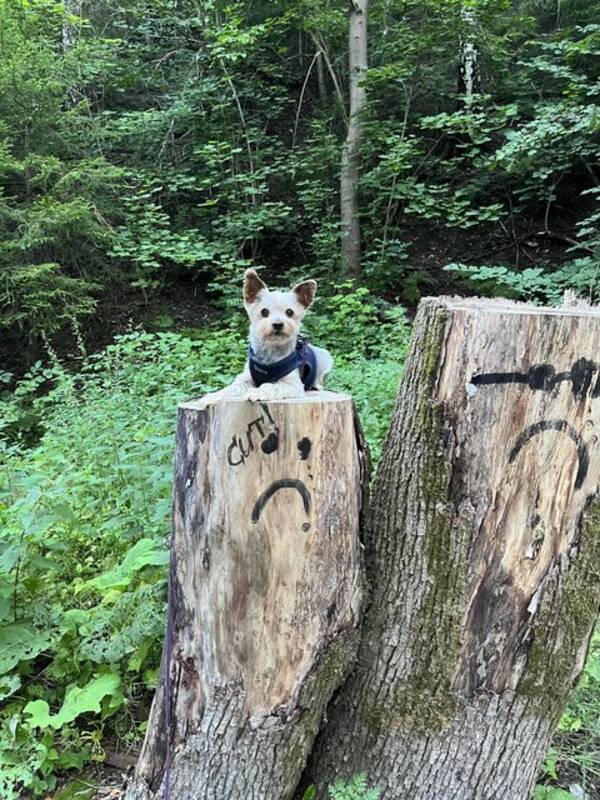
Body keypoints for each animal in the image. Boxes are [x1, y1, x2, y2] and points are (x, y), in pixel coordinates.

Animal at [205, 268, 332, 404]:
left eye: (290, 312)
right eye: (264, 311)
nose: (278, 324)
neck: (270, 350)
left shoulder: (292, 384)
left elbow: (269, 385)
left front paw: (257, 392)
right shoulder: (245, 378)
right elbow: (230, 388)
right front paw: (210, 397)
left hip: (327, 359)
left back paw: (316, 385)